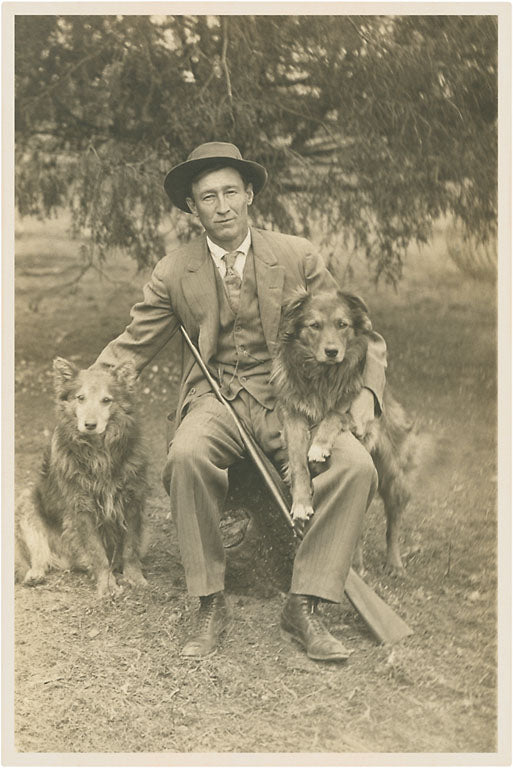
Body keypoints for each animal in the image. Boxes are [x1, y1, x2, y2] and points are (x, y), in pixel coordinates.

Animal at [15, 358, 149, 597]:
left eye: (106, 400)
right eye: (80, 398)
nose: (90, 425)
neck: (99, 452)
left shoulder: (132, 501)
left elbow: (131, 547)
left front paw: (134, 578)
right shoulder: (82, 508)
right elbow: (97, 552)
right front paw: (107, 585)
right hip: (27, 504)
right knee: (39, 555)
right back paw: (35, 574)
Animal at [271, 288, 416, 573]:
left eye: (342, 324)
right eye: (314, 325)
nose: (331, 351)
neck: (323, 376)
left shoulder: (356, 414)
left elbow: (333, 415)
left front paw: (318, 445)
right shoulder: (292, 416)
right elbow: (297, 460)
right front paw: (301, 501)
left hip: (393, 475)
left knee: (393, 523)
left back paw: (394, 563)